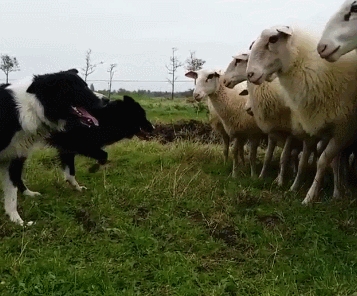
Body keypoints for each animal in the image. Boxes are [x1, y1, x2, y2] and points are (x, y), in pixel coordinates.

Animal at [0, 68, 105, 225]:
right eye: (78, 87)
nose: (106, 100)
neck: (33, 107)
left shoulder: (14, 156)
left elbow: (11, 194)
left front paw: (18, 221)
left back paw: (29, 193)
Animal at [221, 51, 302, 185]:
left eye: (238, 61)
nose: (223, 80)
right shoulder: (272, 129)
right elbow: (268, 155)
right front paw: (262, 176)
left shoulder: (290, 131)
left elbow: (284, 155)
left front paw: (280, 181)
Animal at [246, 24, 357, 204]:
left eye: (273, 39)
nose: (250, 74)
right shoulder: (312, 131)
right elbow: (306, 160)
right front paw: (295, 186)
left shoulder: (344, 129)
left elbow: (323, 161)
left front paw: (311, 196)